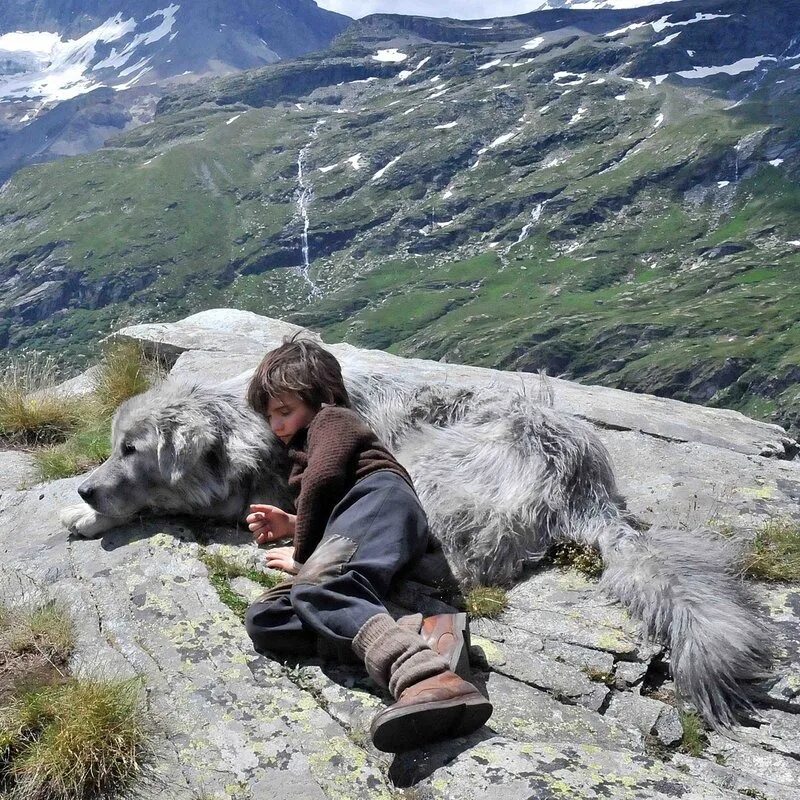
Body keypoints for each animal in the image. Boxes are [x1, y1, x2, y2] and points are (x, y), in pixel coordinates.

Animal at [62, 372, 776, 728]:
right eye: (114, 445)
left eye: (131, 449)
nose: (85, 485)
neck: (244, 429)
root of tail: (584, 474)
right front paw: (84, 509)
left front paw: (88, 512)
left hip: (428, 469)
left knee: (454, 564)